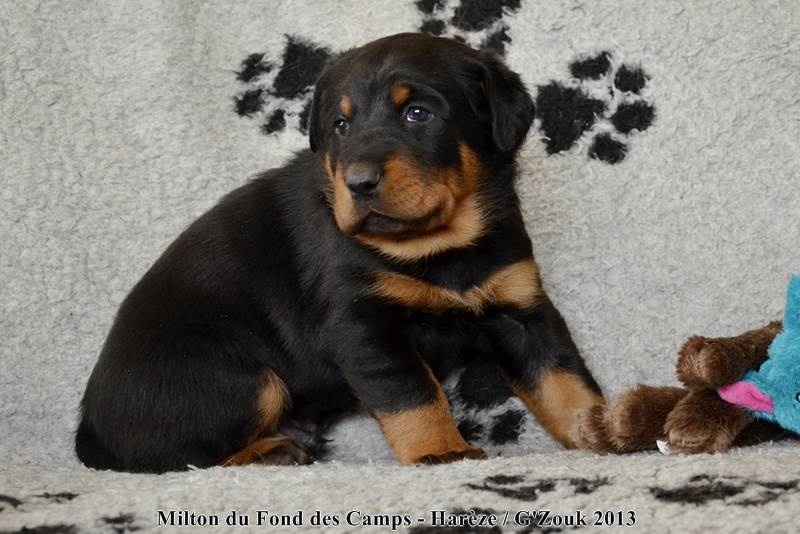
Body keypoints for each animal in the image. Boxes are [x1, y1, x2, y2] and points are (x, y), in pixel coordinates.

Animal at [76, 33, 605, 473]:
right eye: (341, 125)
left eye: (418, 113)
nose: (359, 182)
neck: (439, 248)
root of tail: (87, 430)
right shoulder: (363, 327)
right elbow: (415, 396)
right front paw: (441, 451)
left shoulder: (521, 308)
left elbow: (564, 381)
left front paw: (603, 432)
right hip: (240, 379)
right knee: (182, 457)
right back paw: (274, 451)